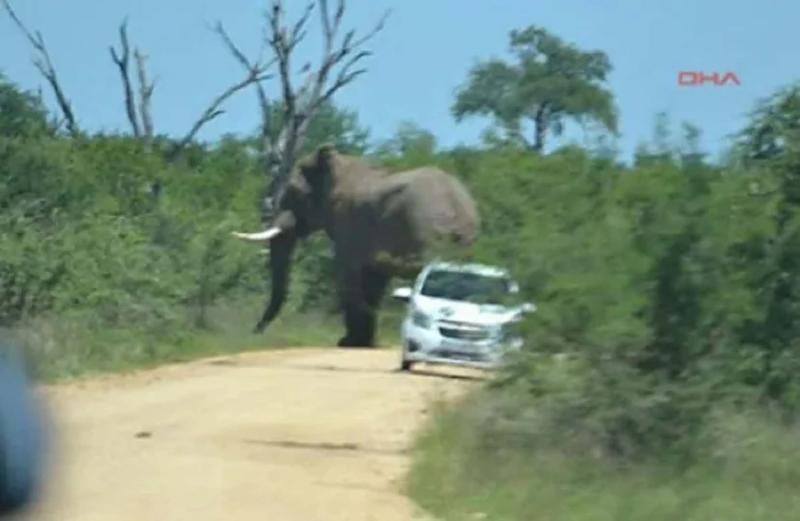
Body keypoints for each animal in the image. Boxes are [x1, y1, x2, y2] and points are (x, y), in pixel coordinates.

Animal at [233, 144, 482, 348]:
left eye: (294, 193)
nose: (255, 333)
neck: (340, 165)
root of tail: (460, 205)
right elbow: (373, 281)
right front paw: (364, 342)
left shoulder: (348, 224)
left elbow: (348, 277)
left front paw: (348, 343)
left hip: (427, 231)